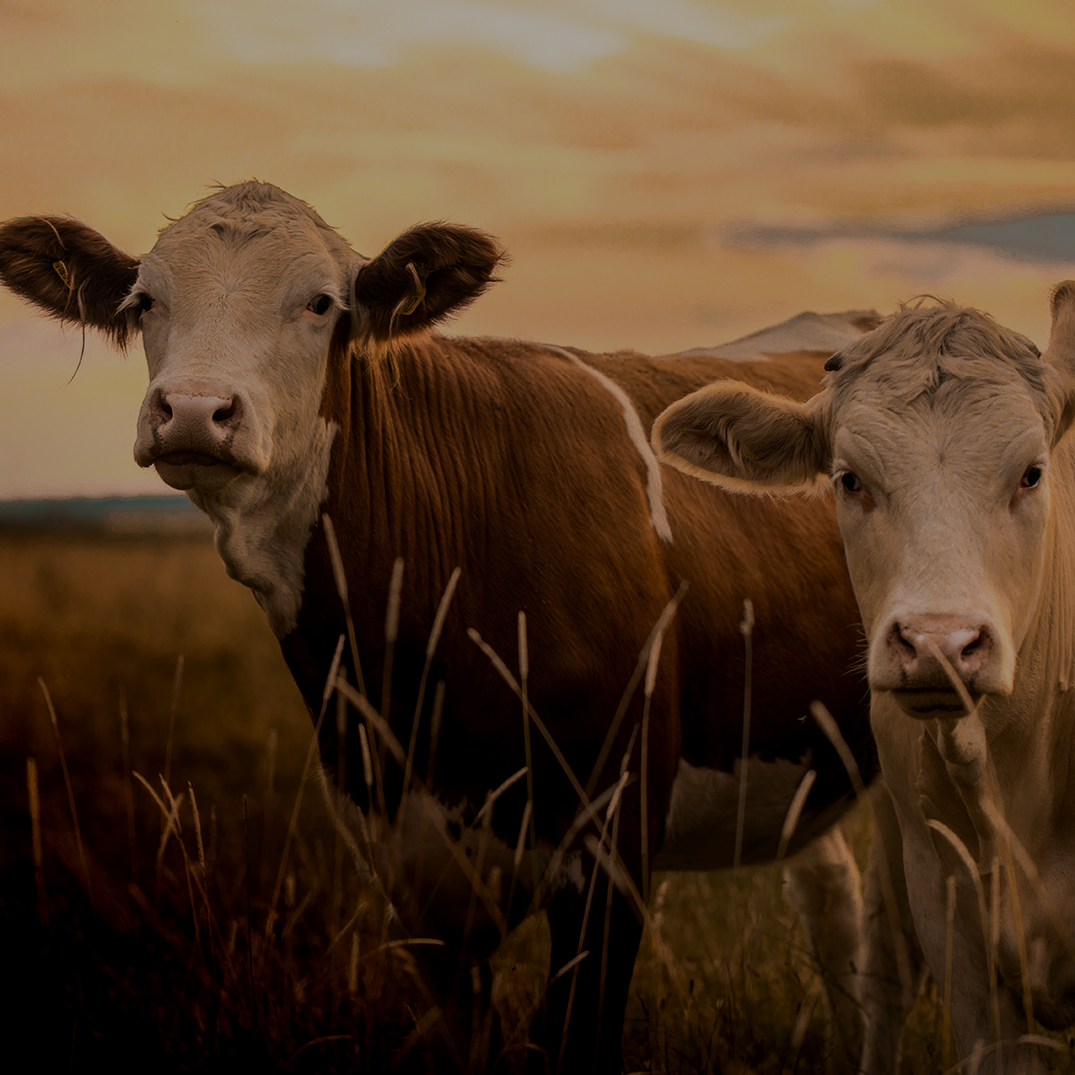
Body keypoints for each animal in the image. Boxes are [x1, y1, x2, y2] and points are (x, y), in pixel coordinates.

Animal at [0, 181, 878, 1073]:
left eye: (321, 303)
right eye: (145, 301)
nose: (192, 411)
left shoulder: (611, 846)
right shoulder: (408, 870)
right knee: (835, 904)